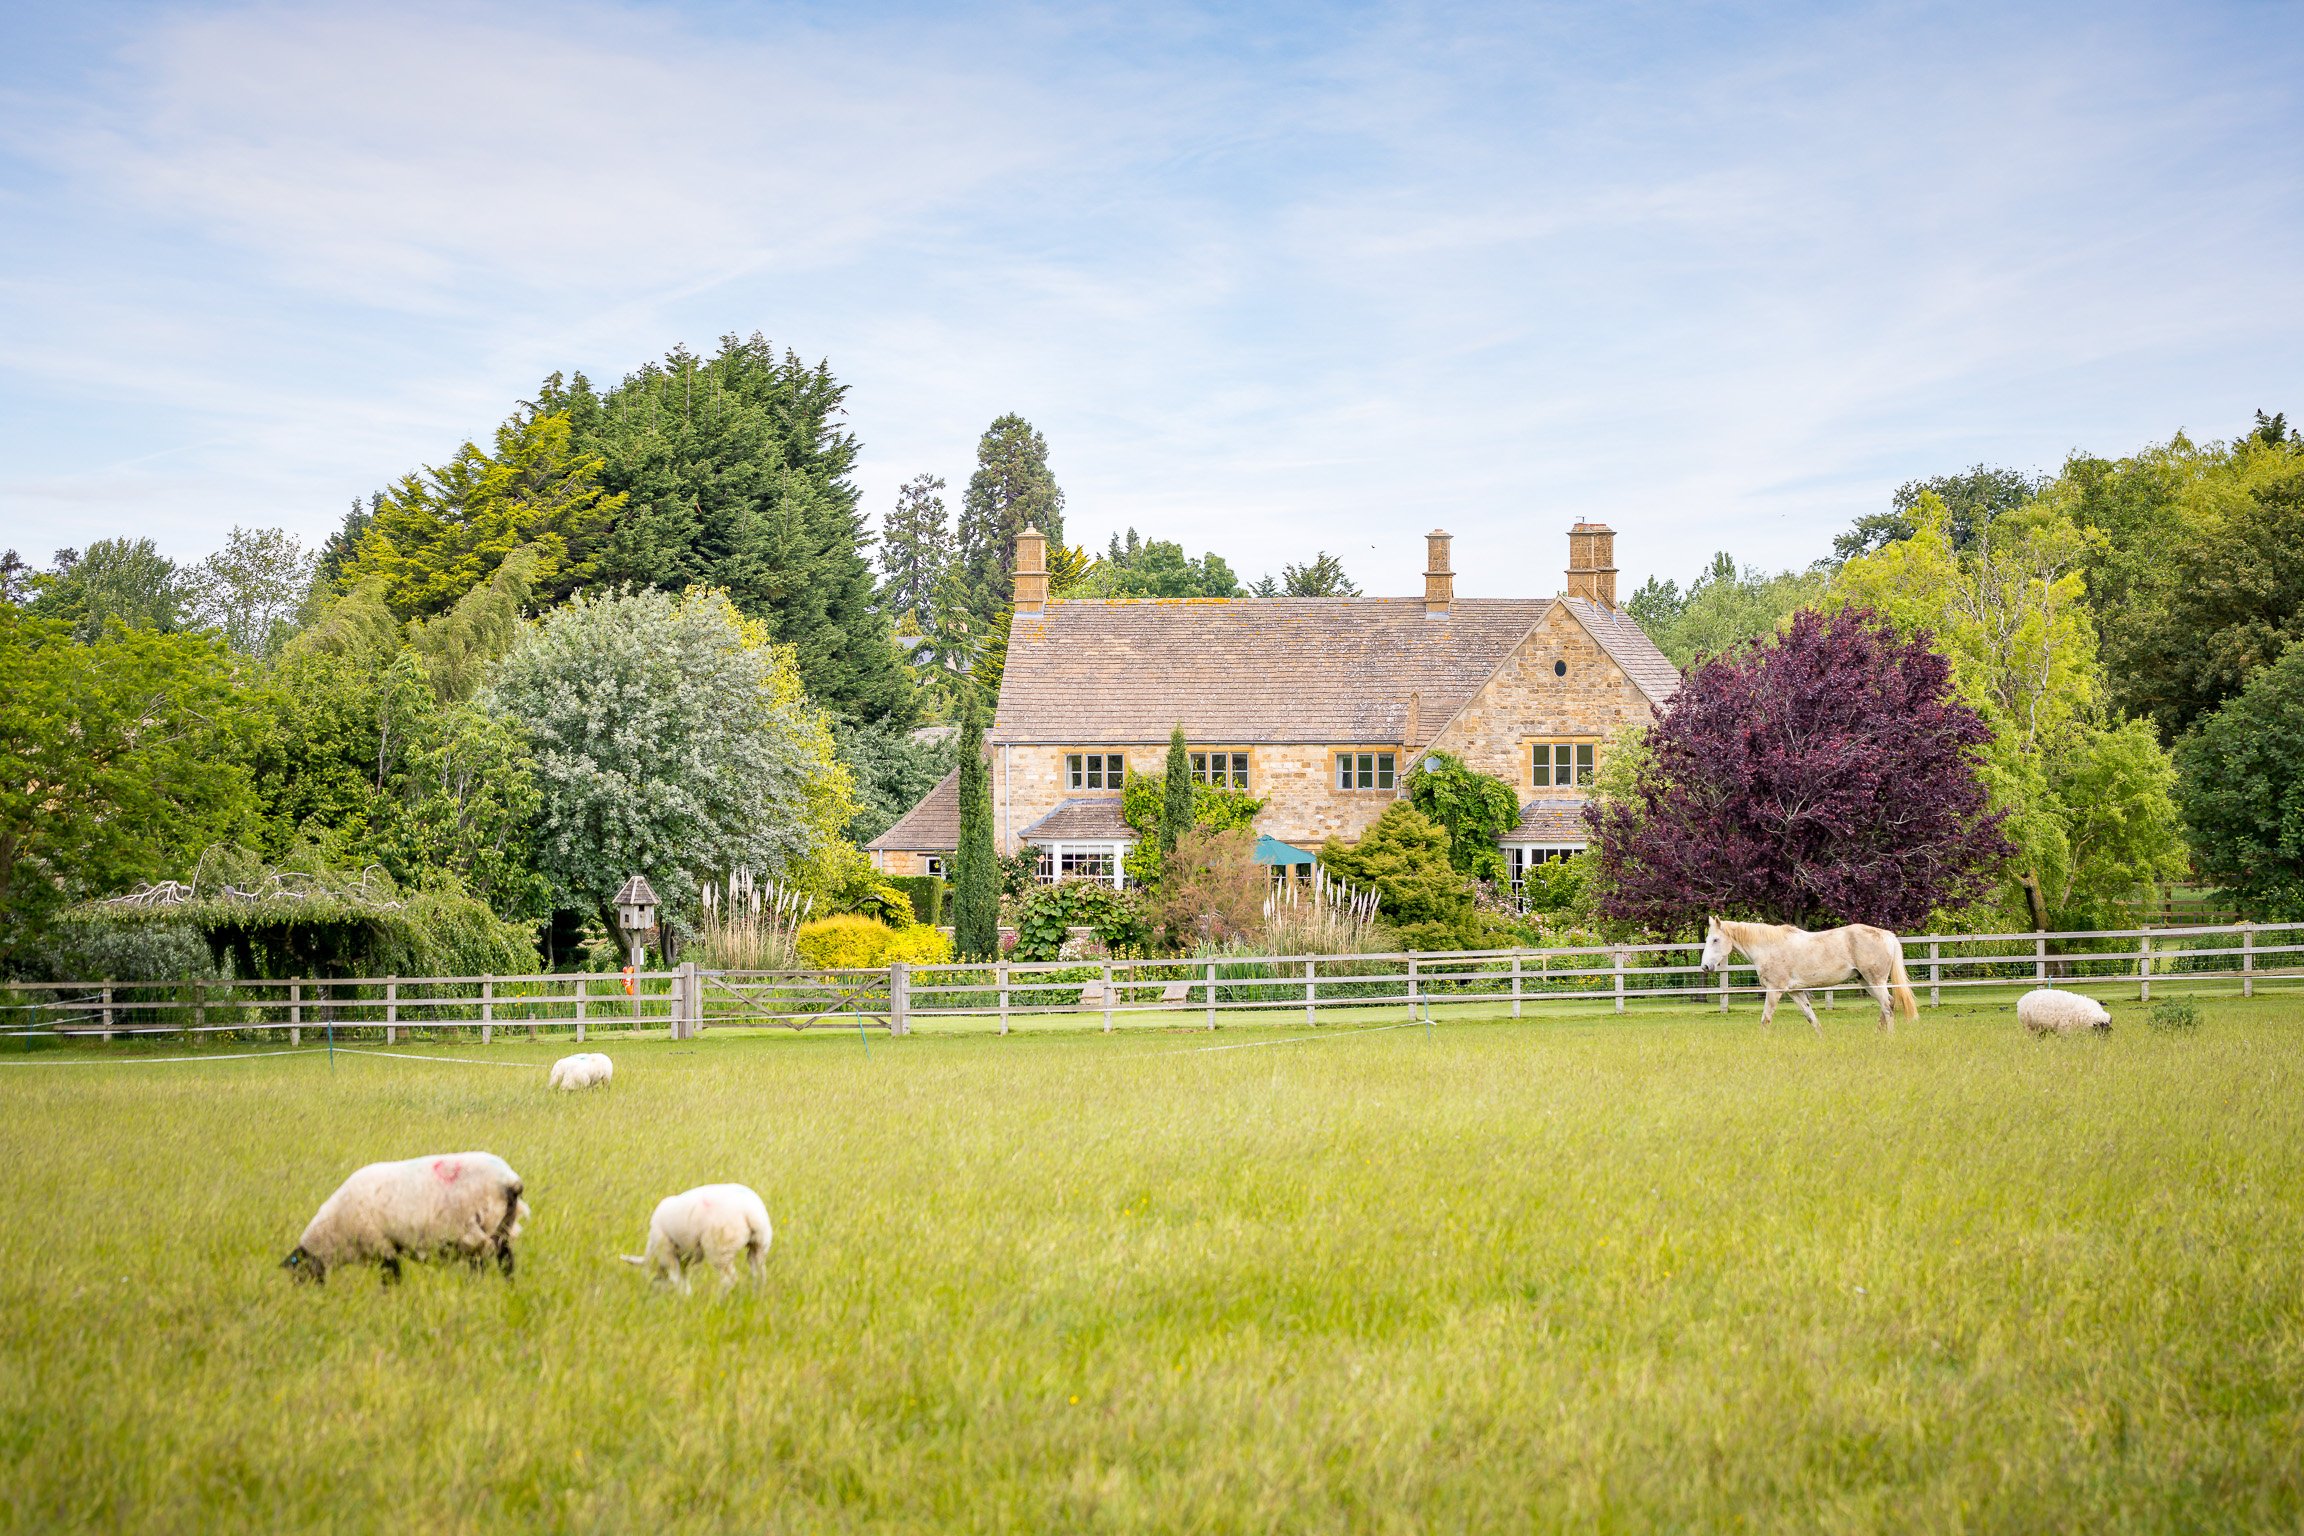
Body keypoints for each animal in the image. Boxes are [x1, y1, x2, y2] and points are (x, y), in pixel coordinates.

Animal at [282, 1151, 529, 1289]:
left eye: (299, 1274)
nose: (308, 1298)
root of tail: (511, 1181)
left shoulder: (382, 1246)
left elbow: (391, 1278)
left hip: (481, 1227)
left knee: (489, 1263)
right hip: (501, 1226)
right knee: (504, 1262)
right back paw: (508, 1287)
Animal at [622, 1188, 774, 1298]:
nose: (652, 1291)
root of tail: (750, 1213)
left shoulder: (666, 1250)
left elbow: (675, 1276)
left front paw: (681, 1296)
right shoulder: (686, 1255)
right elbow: (683, 1274)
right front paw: (687, 1294)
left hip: (720, 1248)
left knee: (729, 1279)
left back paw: (719, 1299)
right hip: (760, 1244)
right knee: (759, 1272)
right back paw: (757, 1294)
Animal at [1704, 921, 1916, 1040]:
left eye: (1715, 939)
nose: (1705, 966)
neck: (1769, 947)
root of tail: (1888, 935)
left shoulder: (1774, 990)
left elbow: (1766, 1019)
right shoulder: (1795, 992)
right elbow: (1811, 1017)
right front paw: (1823, 1039)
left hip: (1875, 981)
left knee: (1887, 1006)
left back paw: (1889, 1038)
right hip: (1866, 981)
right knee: (1887, 1004)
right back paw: (1877, 1035)